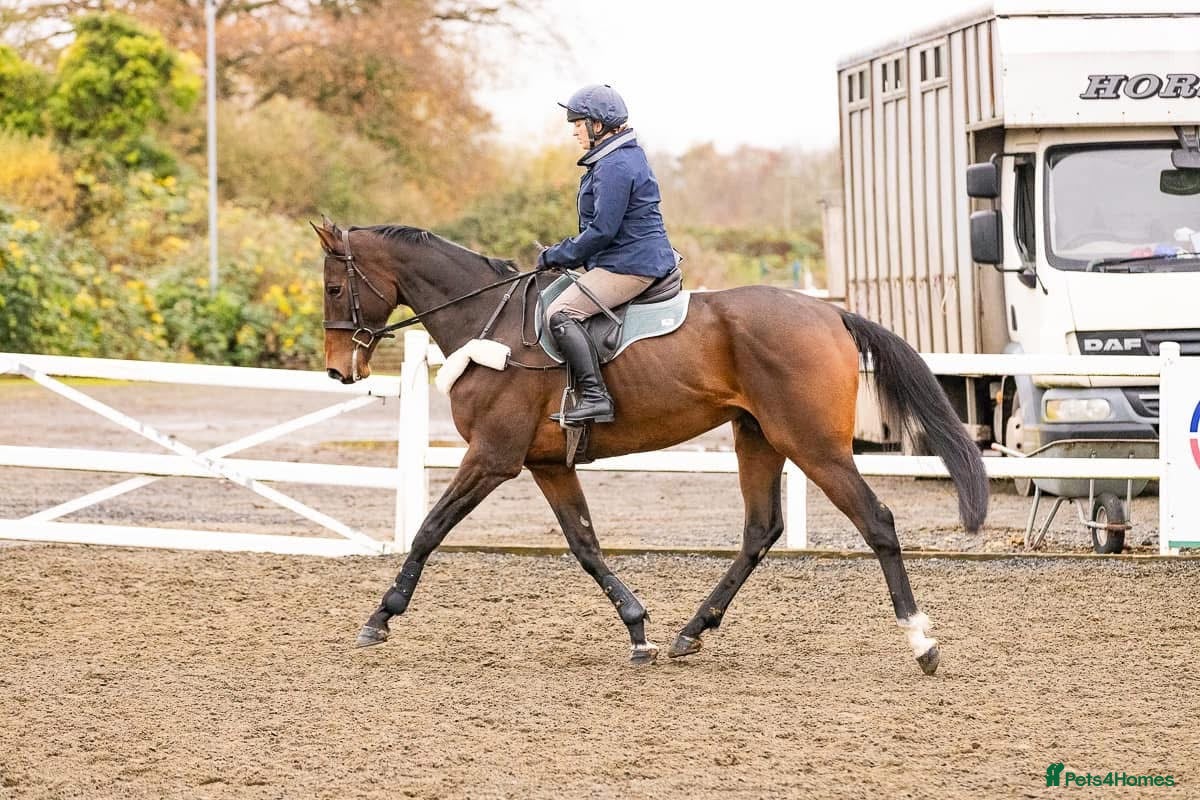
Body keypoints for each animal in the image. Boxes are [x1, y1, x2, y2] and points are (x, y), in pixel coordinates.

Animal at [312, 219, 988, 674]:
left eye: (334, 290)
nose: (340, 371)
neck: (491, 323)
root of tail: (832, 315)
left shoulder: (492, 458)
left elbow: (429, 528)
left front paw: (380, 617)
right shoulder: (546, 464)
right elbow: (585, 545)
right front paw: (638, 630)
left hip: (814, 446)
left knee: (876, 521)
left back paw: (921, 642)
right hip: (758, 438)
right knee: (760, 530)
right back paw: (691, 632)